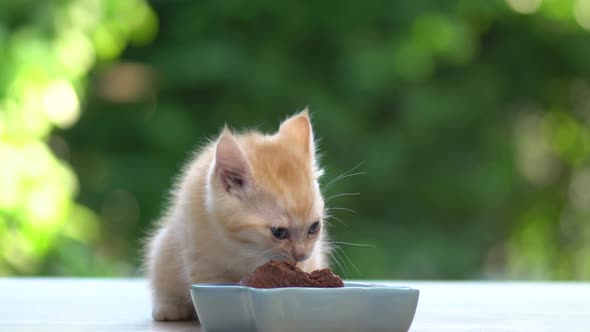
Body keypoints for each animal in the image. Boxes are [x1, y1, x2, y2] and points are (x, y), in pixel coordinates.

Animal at [143, 110, 328, 320]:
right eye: (279, 232)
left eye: (314, 227)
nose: (301, 255)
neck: (245, 247)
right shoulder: (202, 262)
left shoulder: (309, 260)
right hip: (163, 246)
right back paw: (170, 307)